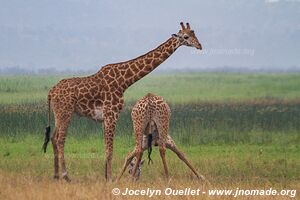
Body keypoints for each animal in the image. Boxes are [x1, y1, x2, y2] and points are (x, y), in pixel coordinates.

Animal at [42, 21, 202, 181]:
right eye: (186, 36)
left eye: (194, 33)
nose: (199, 45)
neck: (124, 81)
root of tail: (51, 92)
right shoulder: (112, 114)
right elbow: (110, 150)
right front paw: (111, 179)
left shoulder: (105, 118)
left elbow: (106, 148)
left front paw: (106, 177)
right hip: (65, 112)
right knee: (60, 140)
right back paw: (66, 176)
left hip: (58, 113)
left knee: (53, 138)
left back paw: (56, 175)